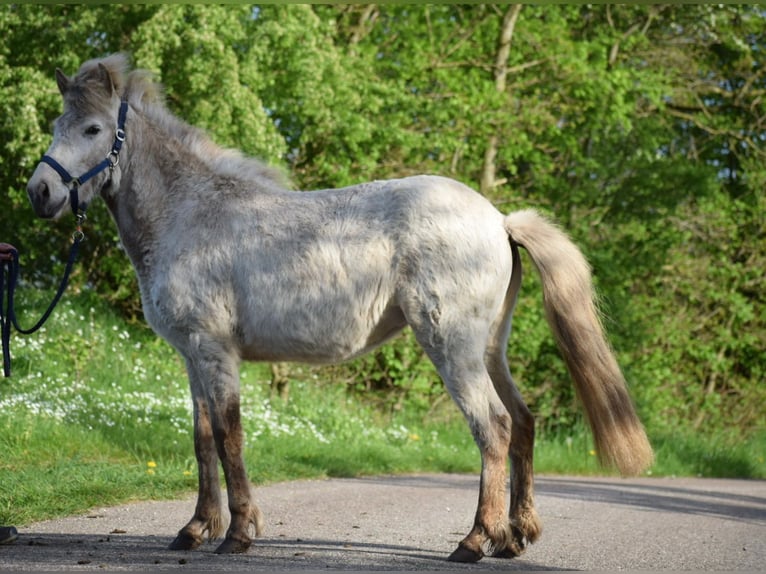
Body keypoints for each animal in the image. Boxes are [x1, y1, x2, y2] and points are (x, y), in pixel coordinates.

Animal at [25, 54, 656, 564]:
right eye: (57, 125)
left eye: (92, 128)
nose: (40, 193)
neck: (190, 212)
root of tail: (498, 219)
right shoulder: (191, 357)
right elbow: (203, 440)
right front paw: (195, 529)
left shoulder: (213, 351)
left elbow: (229, 437)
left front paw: (239, 533)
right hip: (489, 350)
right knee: (523, 423)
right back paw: (516, 536)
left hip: (451, 347)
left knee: (494, 427)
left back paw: (476, 541)